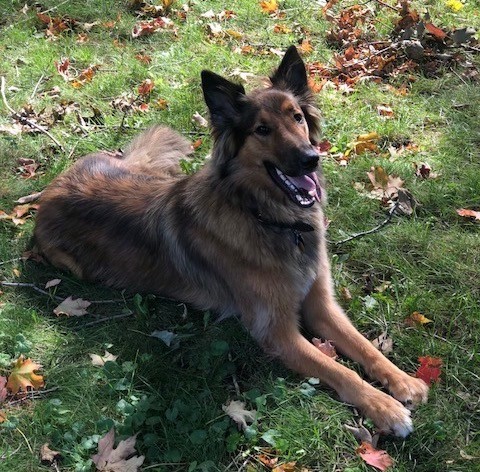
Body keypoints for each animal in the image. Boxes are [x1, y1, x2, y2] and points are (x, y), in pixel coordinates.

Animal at [33, 46, 428, 436]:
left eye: (298, 117)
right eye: (262, 129)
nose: (311, 159)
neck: (271, 219)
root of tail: (51, 188)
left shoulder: (322, 304)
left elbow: (365, 347)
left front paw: (403, 381)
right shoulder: (276, 331)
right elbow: (339, 369)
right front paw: (385, 407)